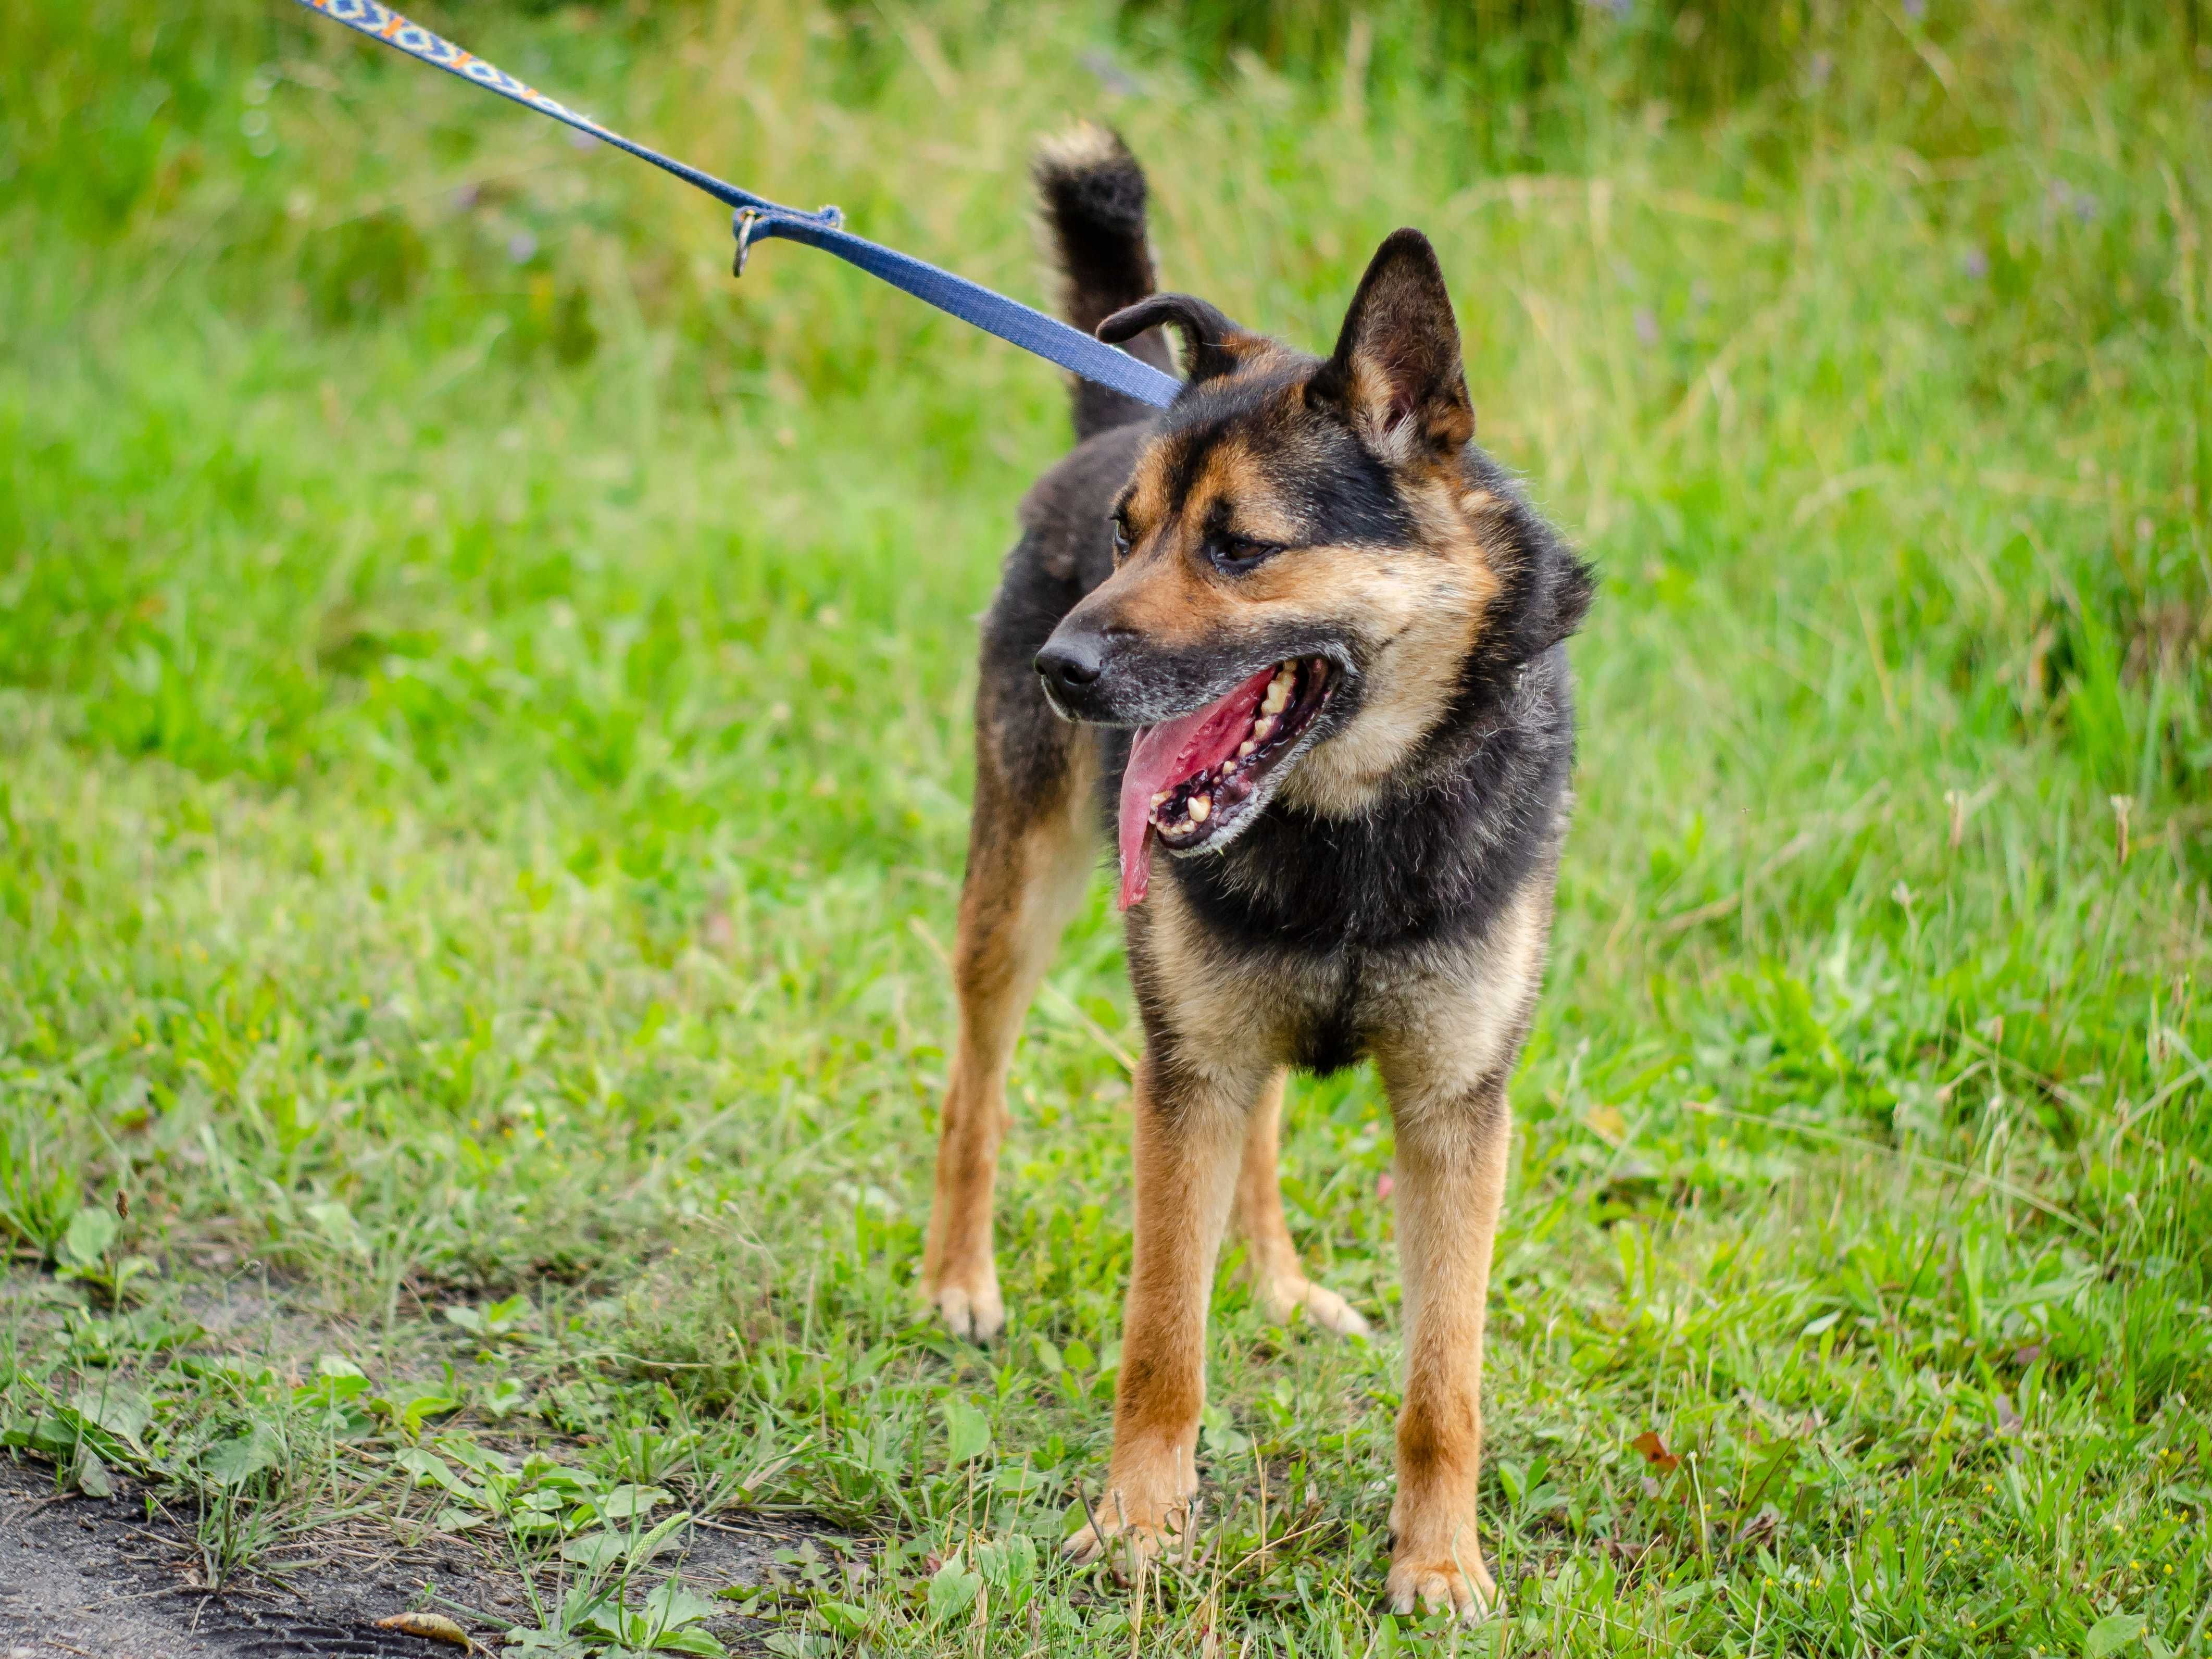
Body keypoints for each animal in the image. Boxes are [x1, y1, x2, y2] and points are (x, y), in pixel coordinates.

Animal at [916, 130, 1592, 1628]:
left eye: (1237, 546)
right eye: (1126, 537)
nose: (1061, 670)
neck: (1350, 823)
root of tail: (1101, 411)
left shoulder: (1455, 1112)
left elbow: (1443, 1383)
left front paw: (1437, 1563)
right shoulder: (1188, 1075)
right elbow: (1158, 1340)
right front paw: (1135, 1531)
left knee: (1267, 1138)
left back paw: (1281, 1286)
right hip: (1018, 896)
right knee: (973, 1083)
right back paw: (955, 1278)